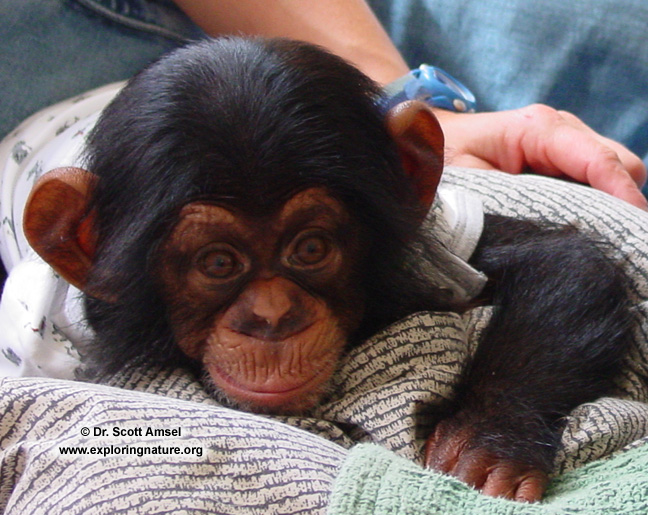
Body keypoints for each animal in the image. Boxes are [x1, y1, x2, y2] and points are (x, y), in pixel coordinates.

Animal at [19, 37, 632, 502]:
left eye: (310, 249)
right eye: (217, 262)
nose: (272, 317)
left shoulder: (427, 240)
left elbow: (564, 264)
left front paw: (488, 439)